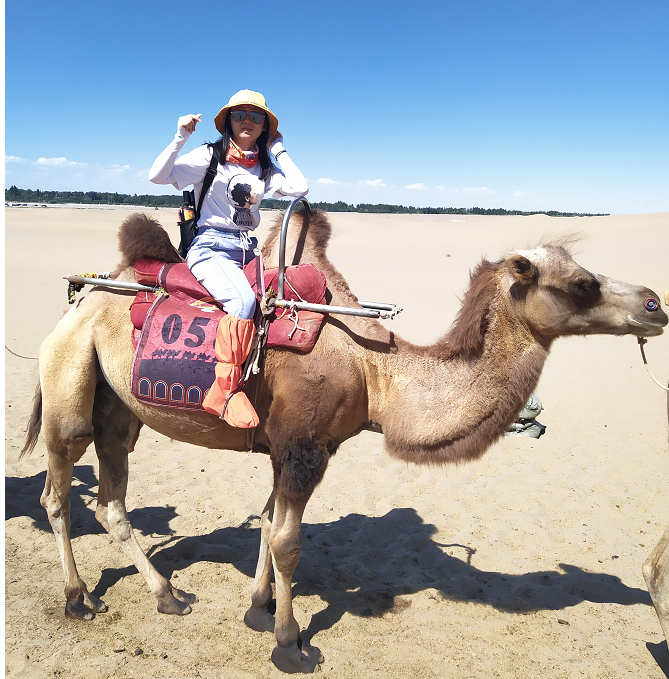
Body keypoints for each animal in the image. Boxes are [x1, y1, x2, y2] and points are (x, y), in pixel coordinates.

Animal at [22, 210, 668, 673]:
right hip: (69, 383)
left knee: (111, 501)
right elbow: (288, 541)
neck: (374, 372)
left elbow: (266, 523)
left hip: (118, 411)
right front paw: (289, 643)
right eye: (583, 283)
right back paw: (78, 598)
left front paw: (257, 611)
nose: (655, 302)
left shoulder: (295, 447)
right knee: (58, 492)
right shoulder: (303, 448)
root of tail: (79, 297)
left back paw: (168, 595)